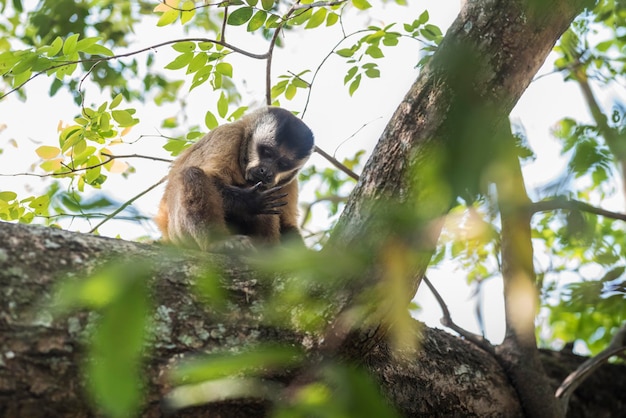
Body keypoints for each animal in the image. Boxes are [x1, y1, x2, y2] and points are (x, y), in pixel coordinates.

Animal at [154, 107, 314, 251]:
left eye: (282, 164)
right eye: (267, 152)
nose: (266, 172)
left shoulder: (290, 180)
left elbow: (287, 223)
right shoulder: (229, 135)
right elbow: (212, 178)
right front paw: (251, 201)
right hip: (178, 233)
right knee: (192, 175)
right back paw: (217, 241)